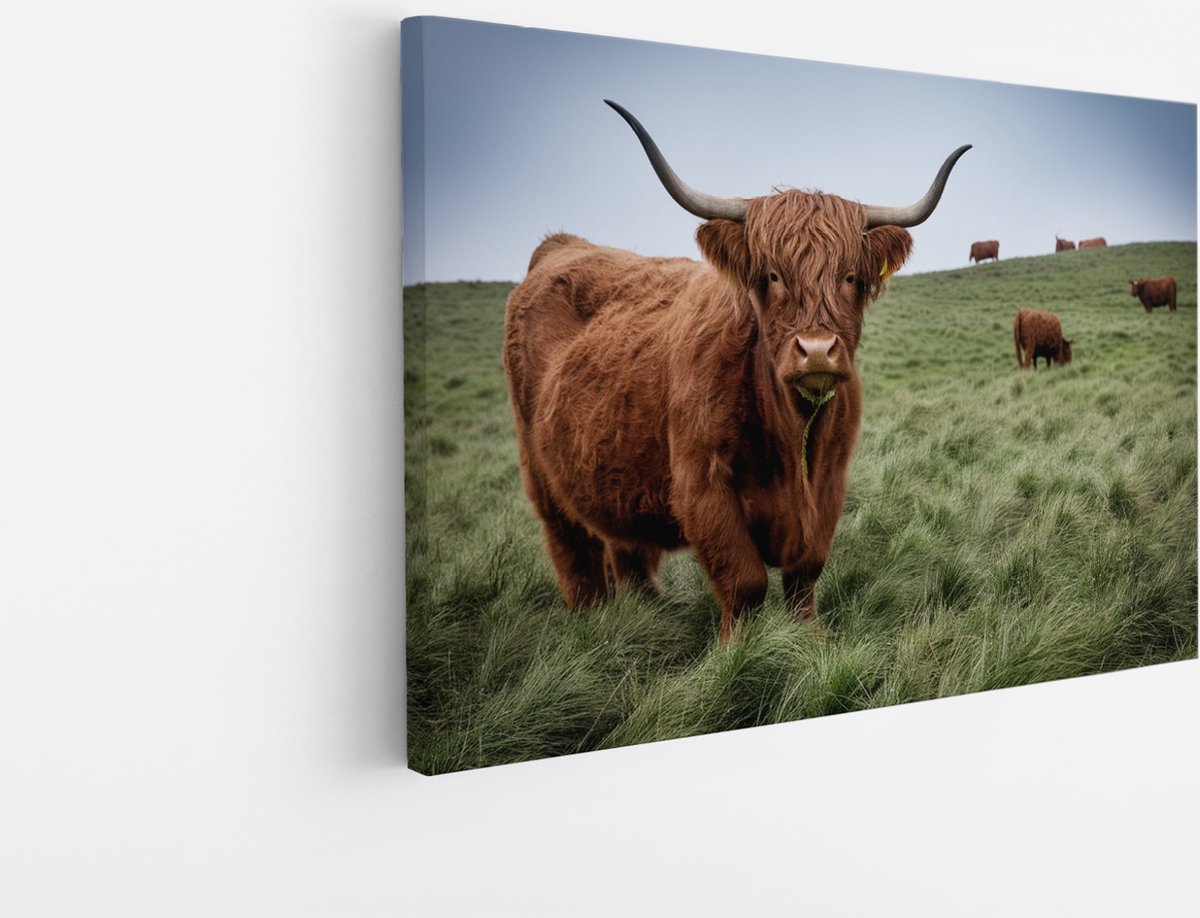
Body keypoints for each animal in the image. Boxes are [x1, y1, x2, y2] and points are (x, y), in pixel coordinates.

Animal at [504, 100, 970, 643]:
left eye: (851, 276)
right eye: (772, 275)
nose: (816, 351)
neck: (789, 432)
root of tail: (561, 244)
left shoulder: (830, 482)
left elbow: (804, 575)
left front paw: (810, 642)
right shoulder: (702, 484)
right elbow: (744, 581)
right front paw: (734, 652)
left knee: (628, 551)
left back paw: (646, 614)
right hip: (542, 477)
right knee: (574, 555)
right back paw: (589, 624)